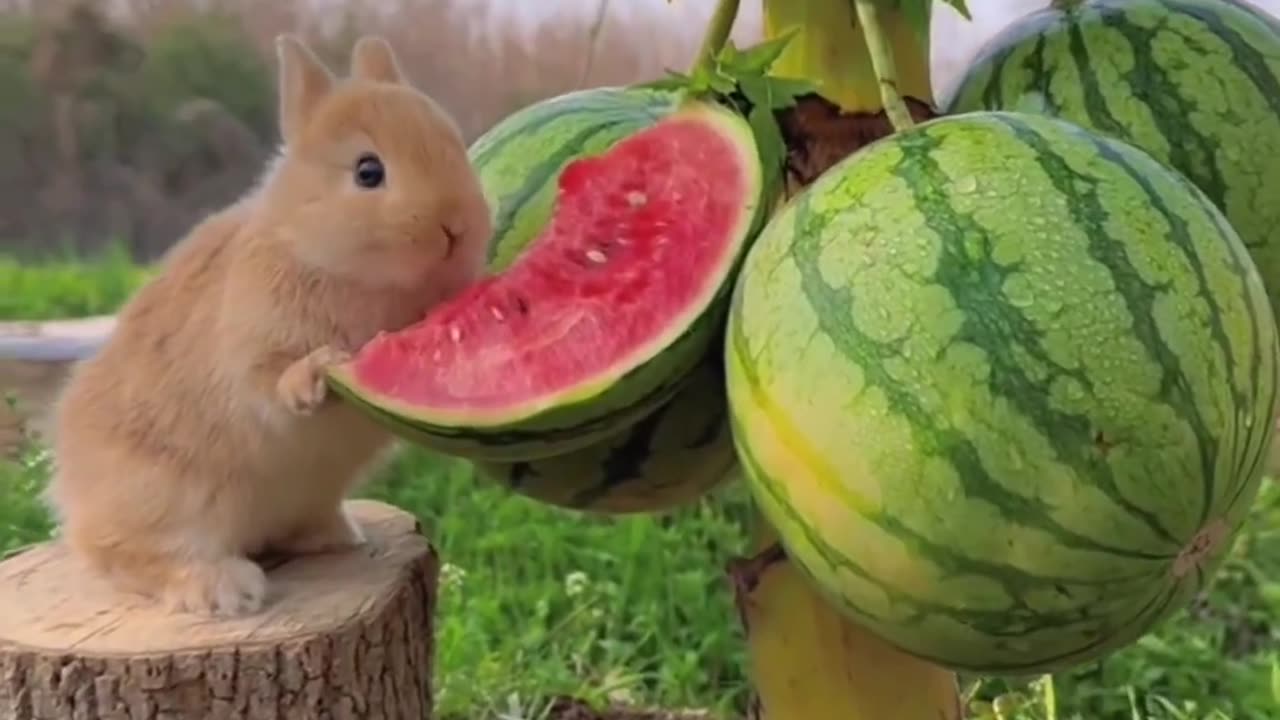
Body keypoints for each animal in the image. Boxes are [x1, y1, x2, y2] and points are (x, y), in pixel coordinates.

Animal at [45, 33, 494, 614]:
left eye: (453, 144)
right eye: (368, 172)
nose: (457, 227)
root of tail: (70, 492)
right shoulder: (251, 351)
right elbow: (269, 384)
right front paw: (315, 374)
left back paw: (337, 536)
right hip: (163, 496)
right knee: (127, 552)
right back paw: (224, 588)